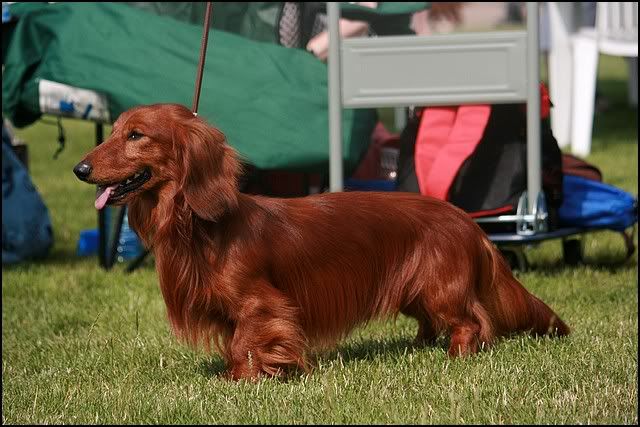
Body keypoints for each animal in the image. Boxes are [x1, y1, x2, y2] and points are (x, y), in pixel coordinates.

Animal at [74, 103, 570, 380]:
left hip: (440, 288)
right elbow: (237, 341)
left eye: (136, 135)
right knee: (437, 321)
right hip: (414, 291)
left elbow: (248, 339)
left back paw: (456, 354)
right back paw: (419, 346)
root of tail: (467, 219)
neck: (201, 227)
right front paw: (239, 374)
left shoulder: (262, 303)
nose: (80, 169)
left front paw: (242, 379)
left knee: (471, 321)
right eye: (114, 131)